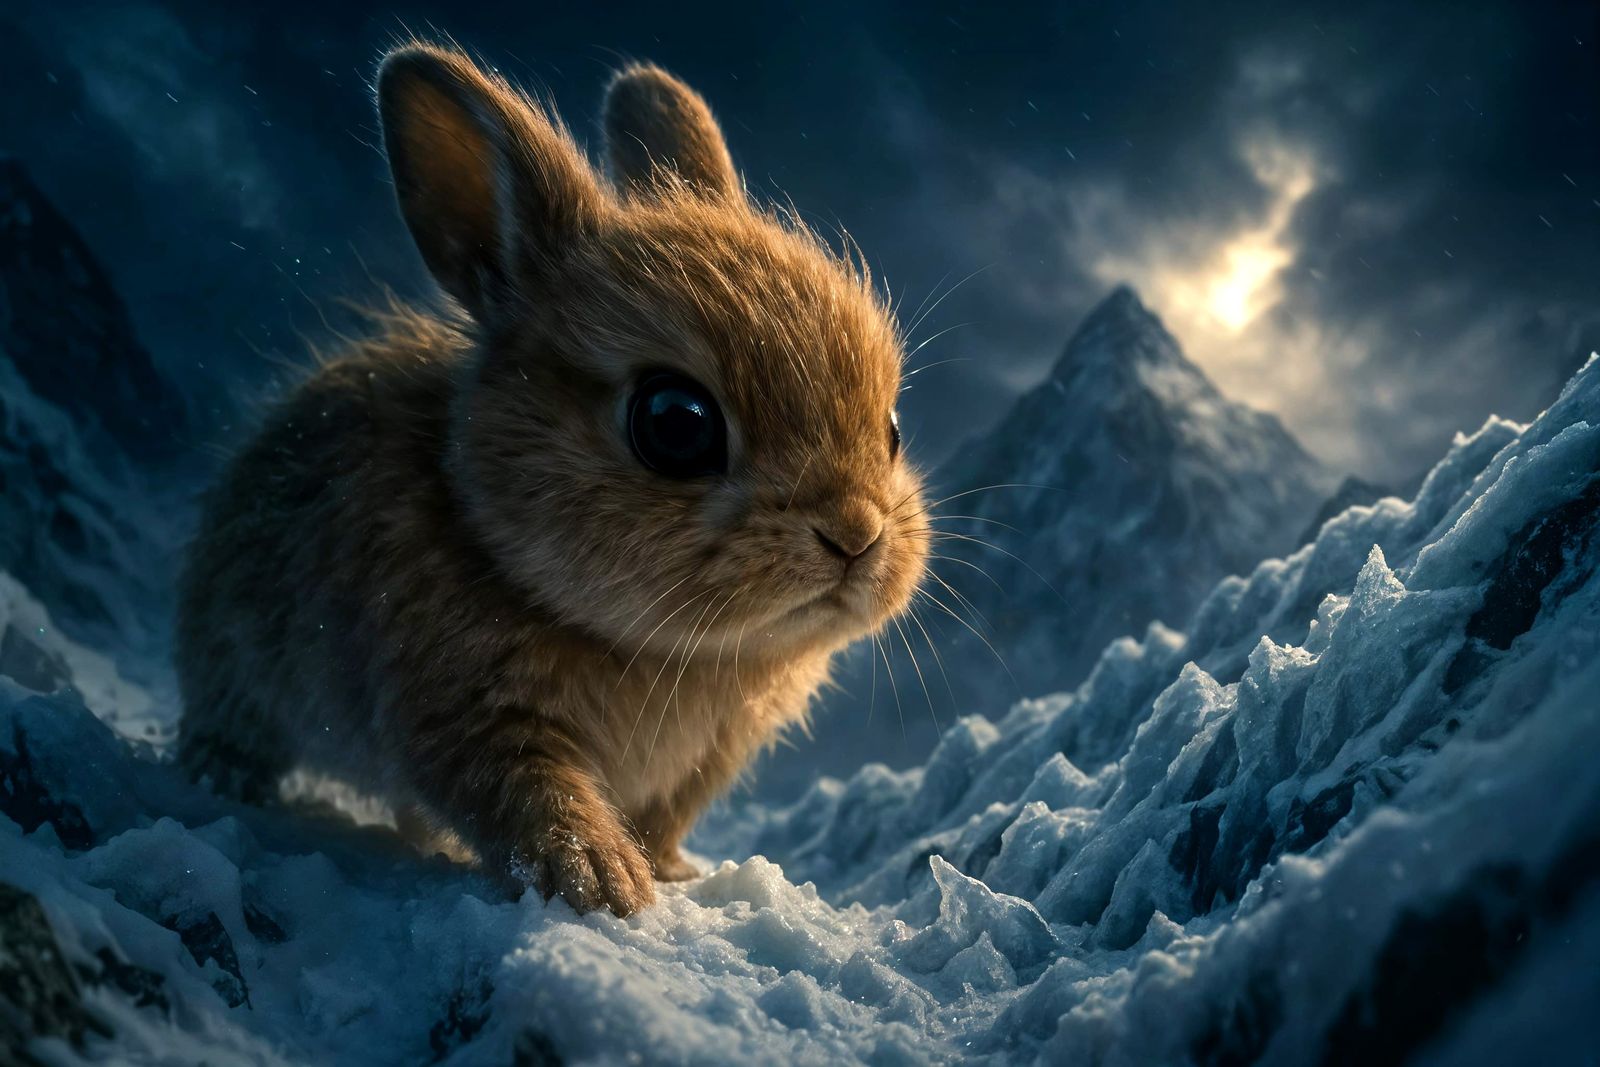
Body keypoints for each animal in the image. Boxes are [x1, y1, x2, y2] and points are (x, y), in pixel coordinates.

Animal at [175, 41, 930, 916]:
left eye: (892, 429)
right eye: (676, 423)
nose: (857, 535)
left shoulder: (702, 765)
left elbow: (660, 815)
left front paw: (667, 870)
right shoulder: (469, 710)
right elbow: (532, 796)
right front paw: (604, 882)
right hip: (231, 656)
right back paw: (219, 771)